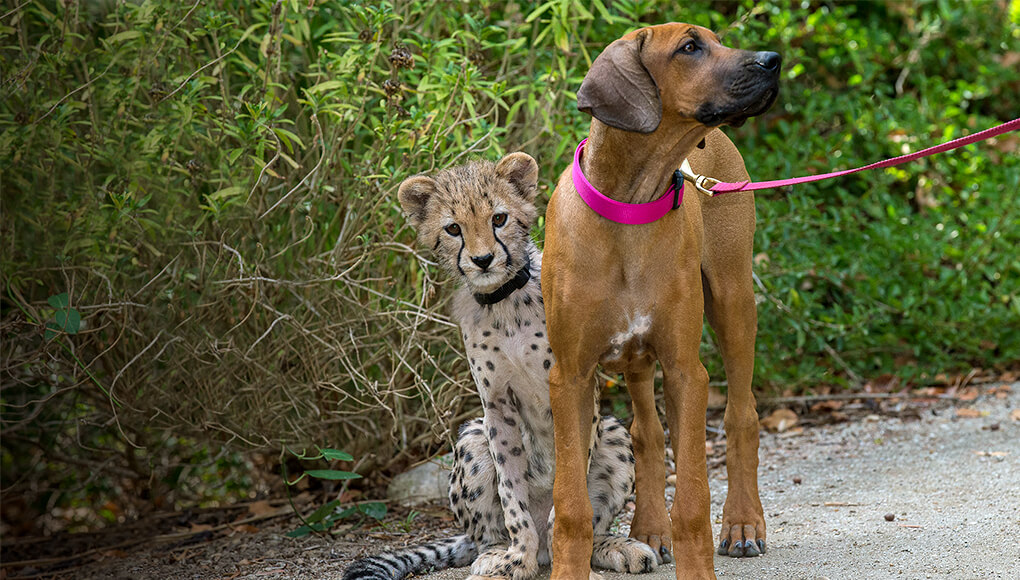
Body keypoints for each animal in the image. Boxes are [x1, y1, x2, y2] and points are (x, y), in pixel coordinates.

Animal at [542, 21, 779, 574]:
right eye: (690, 47)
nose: (773, 60)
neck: (630, 208)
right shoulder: (570, 376)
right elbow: (571, 502)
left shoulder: (685, 370)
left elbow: (692, 496)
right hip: (634, 358)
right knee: (646, 434)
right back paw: (650, 527)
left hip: (733, 301)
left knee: (742, 416)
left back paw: (742, 523)